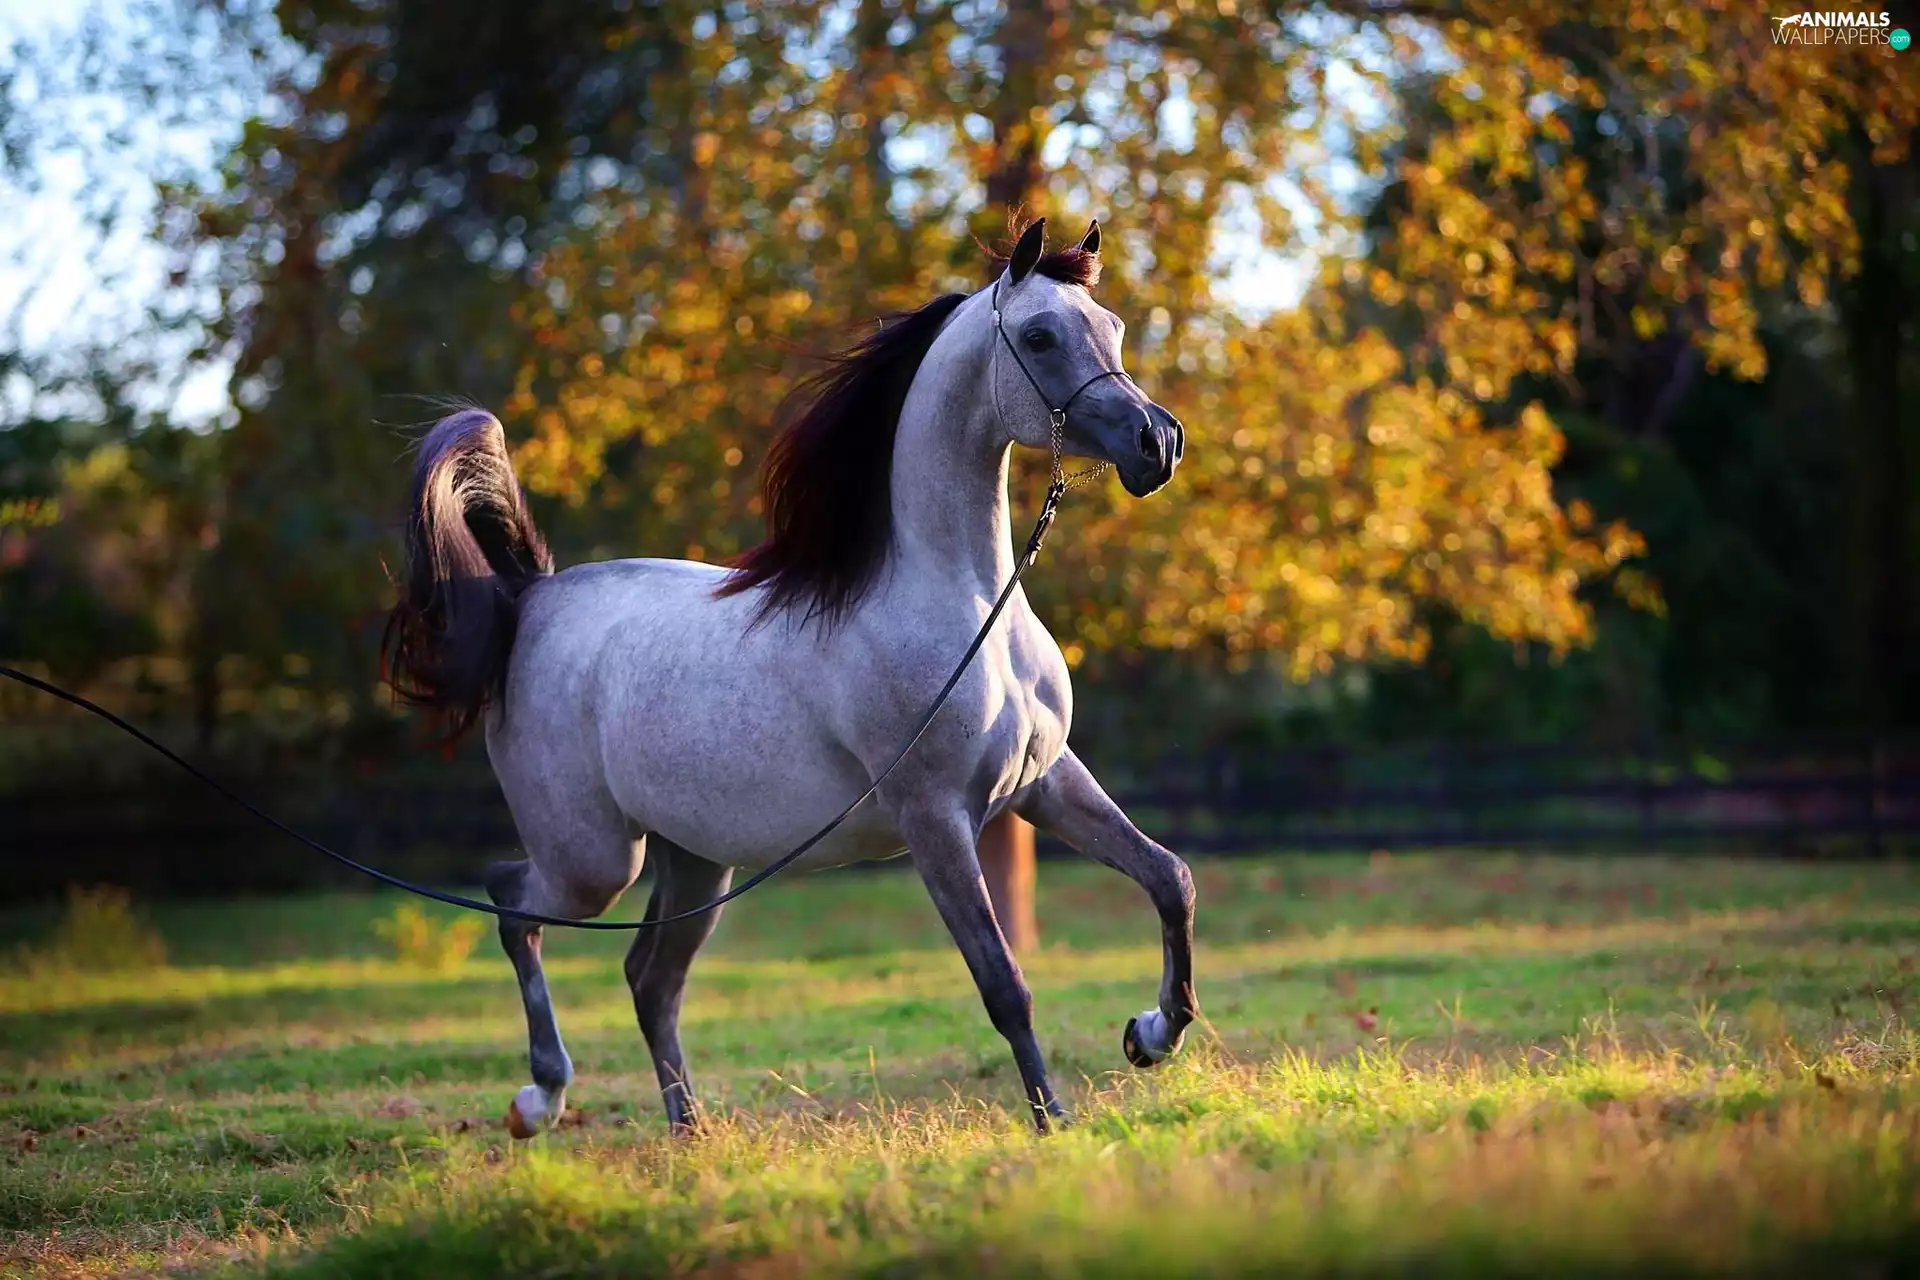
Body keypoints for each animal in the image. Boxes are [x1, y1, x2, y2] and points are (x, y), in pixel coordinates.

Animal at [382, 217, 1198, 1136]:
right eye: (1040, 336)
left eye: (1114, 327)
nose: (1158, 443)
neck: (961, 601)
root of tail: (533, 601)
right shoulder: (935, 819)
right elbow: (1004, 984)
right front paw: (1054, 1119)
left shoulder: (1043, 783)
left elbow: (1169, 877)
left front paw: (1152, 1034)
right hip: (593, 860)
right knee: (510, 903)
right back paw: (540, 1097)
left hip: (694, 860)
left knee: (647, 977)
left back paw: (689, 1131)